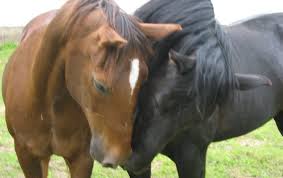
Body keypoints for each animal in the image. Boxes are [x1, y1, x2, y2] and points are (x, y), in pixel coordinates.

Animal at [2, 0, 182, 177]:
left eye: (143, 80)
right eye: (99, 84)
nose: (119, 157)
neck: (46, 105)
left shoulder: (82, 158)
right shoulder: (27, 155)